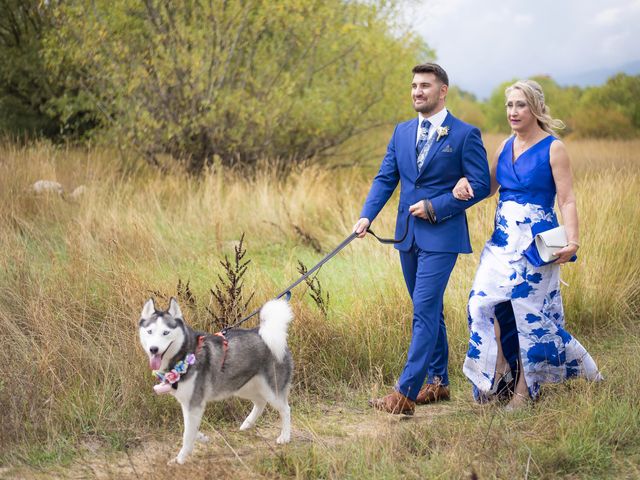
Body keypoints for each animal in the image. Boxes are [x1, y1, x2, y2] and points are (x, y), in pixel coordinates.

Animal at [139, 298, 294, 464]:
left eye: (166, 332)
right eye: (149, 331)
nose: (153, 349)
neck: (185, 354)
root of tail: (264, 332)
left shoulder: (194, 403)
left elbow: (187, 434)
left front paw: (180, 459)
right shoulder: (188, 404)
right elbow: (189, 429)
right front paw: (201, 437)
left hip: (271, 390)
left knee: (285, 409)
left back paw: (285, 437)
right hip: (242, 386)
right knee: (260, 402)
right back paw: (247, 424)